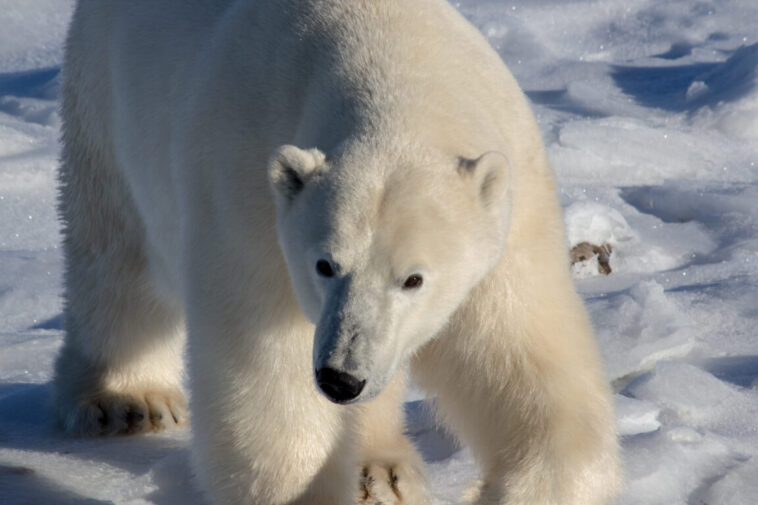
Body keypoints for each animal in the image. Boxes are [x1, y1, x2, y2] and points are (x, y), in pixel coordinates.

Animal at [53, 1, 621, 504]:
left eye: (413, 279)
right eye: (325, 265)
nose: (340, 378)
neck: (388, 57)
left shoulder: (511, 213)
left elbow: (523, 363)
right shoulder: (248, 198)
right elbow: (269, 375)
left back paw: (380, 466)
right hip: (103, 101)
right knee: (115, 256)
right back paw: (126, 400)